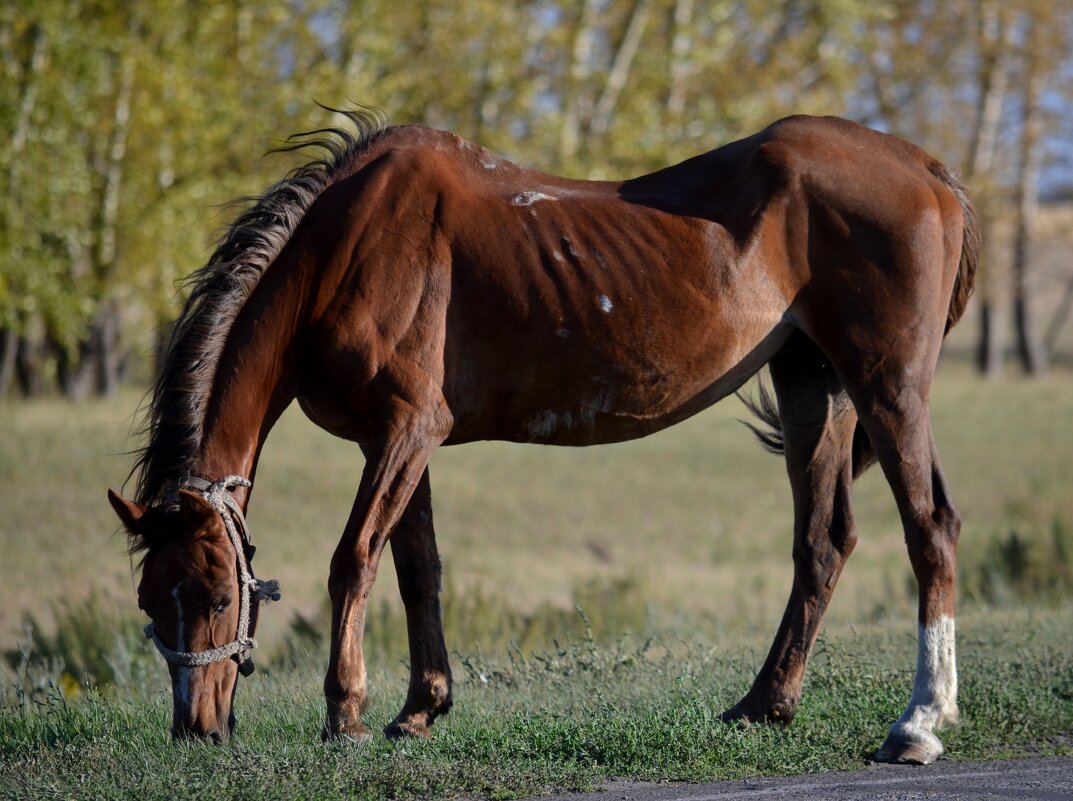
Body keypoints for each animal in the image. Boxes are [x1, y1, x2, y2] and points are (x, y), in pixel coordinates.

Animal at [106, 108, 974, 763]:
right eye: (150, 600)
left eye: (221, 596)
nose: (196, 728)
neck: (347, 250)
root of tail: (927, 167)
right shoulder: (399, 443)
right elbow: (418, 568)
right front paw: (419, 707)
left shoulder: (404, 431)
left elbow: (353, 559)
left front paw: (344, 712)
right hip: (810, 384)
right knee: (822, 543)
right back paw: (765, 702)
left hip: (888, 386)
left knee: (929, 526)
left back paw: (917, 723)